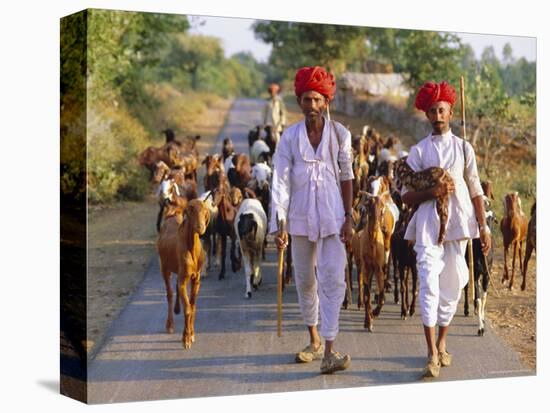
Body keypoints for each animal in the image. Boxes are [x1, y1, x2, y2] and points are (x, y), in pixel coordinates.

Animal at [160, 198, 213, 346]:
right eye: (190, 210)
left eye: (205, 210)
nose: (200, 227)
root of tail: (172, 214)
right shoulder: (183, 280)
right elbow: (188, 308)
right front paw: (186, 338)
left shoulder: (196, 279)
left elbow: (192, 306)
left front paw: (192, 334)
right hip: (164, 268)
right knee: (169, 293)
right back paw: (170, 325)